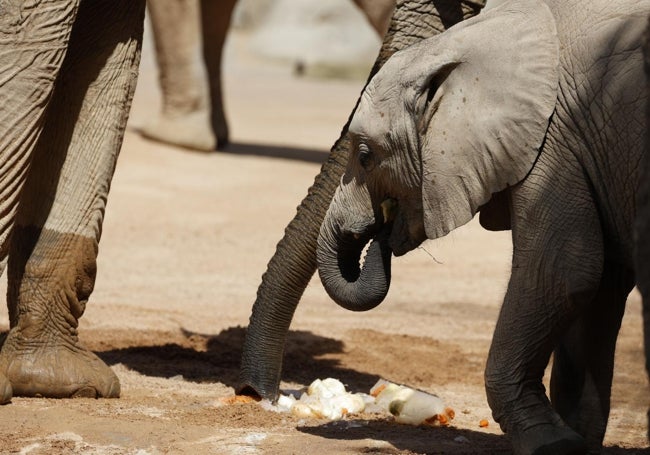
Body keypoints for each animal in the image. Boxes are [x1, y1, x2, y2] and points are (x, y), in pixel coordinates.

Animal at [312, 0, 644, 455]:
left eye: (365, 155)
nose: (382, 231)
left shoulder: (554, 142)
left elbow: (561, 274)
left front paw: (549, 442)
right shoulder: (582, 147)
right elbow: (599, 286)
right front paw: (573, 441)